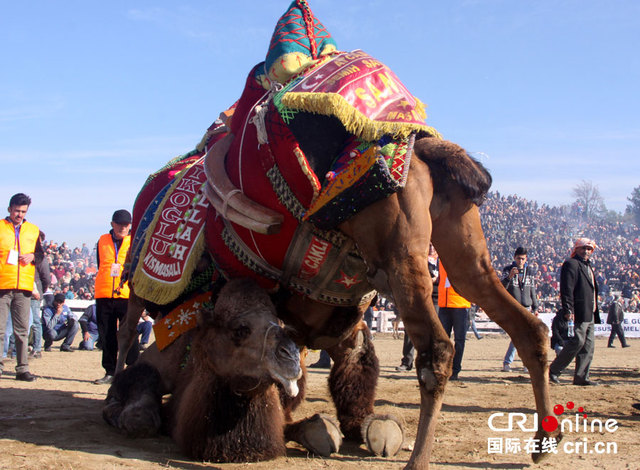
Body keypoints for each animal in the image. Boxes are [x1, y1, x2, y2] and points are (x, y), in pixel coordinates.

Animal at [105, 280, 344, 462]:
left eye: (280, 323)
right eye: (240, 329)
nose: (291, 357)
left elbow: (318, 432)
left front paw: (323, 430)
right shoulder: (157, 364)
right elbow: (139, 412)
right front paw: (123, 414)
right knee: (126, 332)